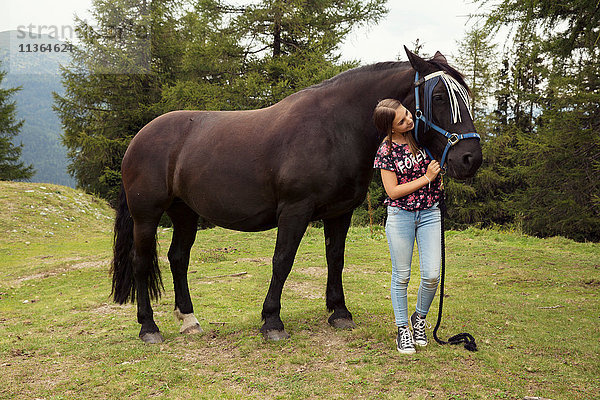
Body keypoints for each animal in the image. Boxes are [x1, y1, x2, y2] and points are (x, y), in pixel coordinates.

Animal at [109, 46, 482, 340]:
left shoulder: (339, 212)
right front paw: (272, 321)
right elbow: (283, 260)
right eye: (438, 97)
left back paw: (189, 320)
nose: (471, 159)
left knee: (178, 259)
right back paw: (149, 328)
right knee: (142, 262)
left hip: (184, 213)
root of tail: (139, 139)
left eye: (466, 96)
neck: (335, 129)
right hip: (147, 216)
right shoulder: (295, 210)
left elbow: (336, 258)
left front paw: (340, 312)